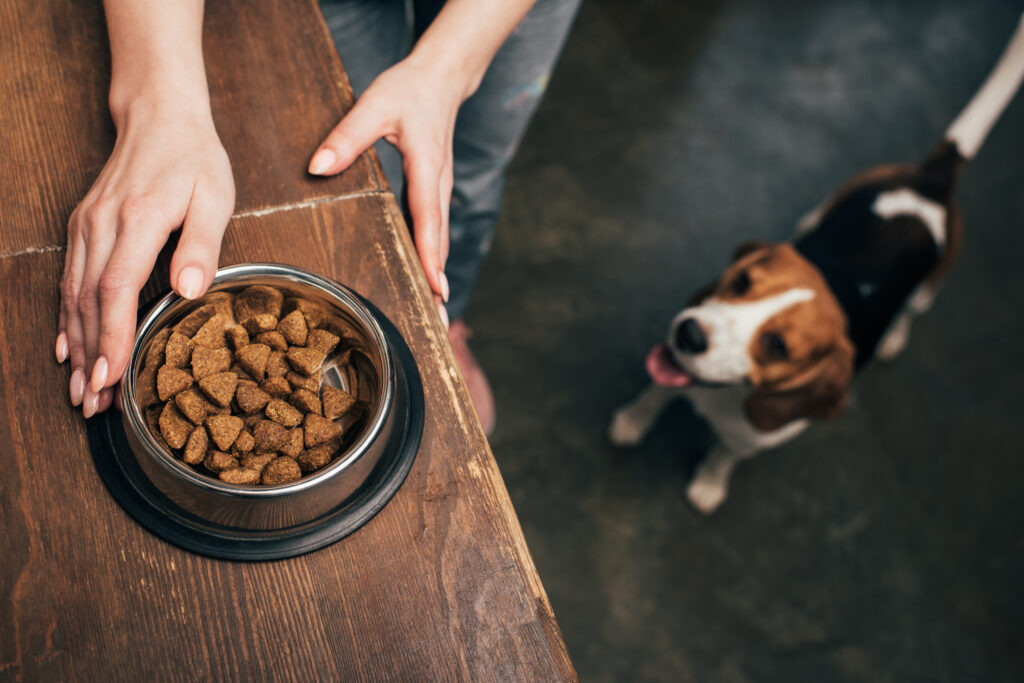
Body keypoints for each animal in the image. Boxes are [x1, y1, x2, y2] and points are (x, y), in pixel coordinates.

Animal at [606, 13, 1024, 511]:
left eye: (777, 346)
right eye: (741, 282)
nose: (688, 333)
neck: (727, 396)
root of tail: (931, 181)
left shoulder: (749, 441)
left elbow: (725, 456)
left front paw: (708, 486)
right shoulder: (670, 371)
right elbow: (653, 395)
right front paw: (631, 422)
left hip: (928, 287)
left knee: (912, 311)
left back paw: (893, 339)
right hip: (822, 209)